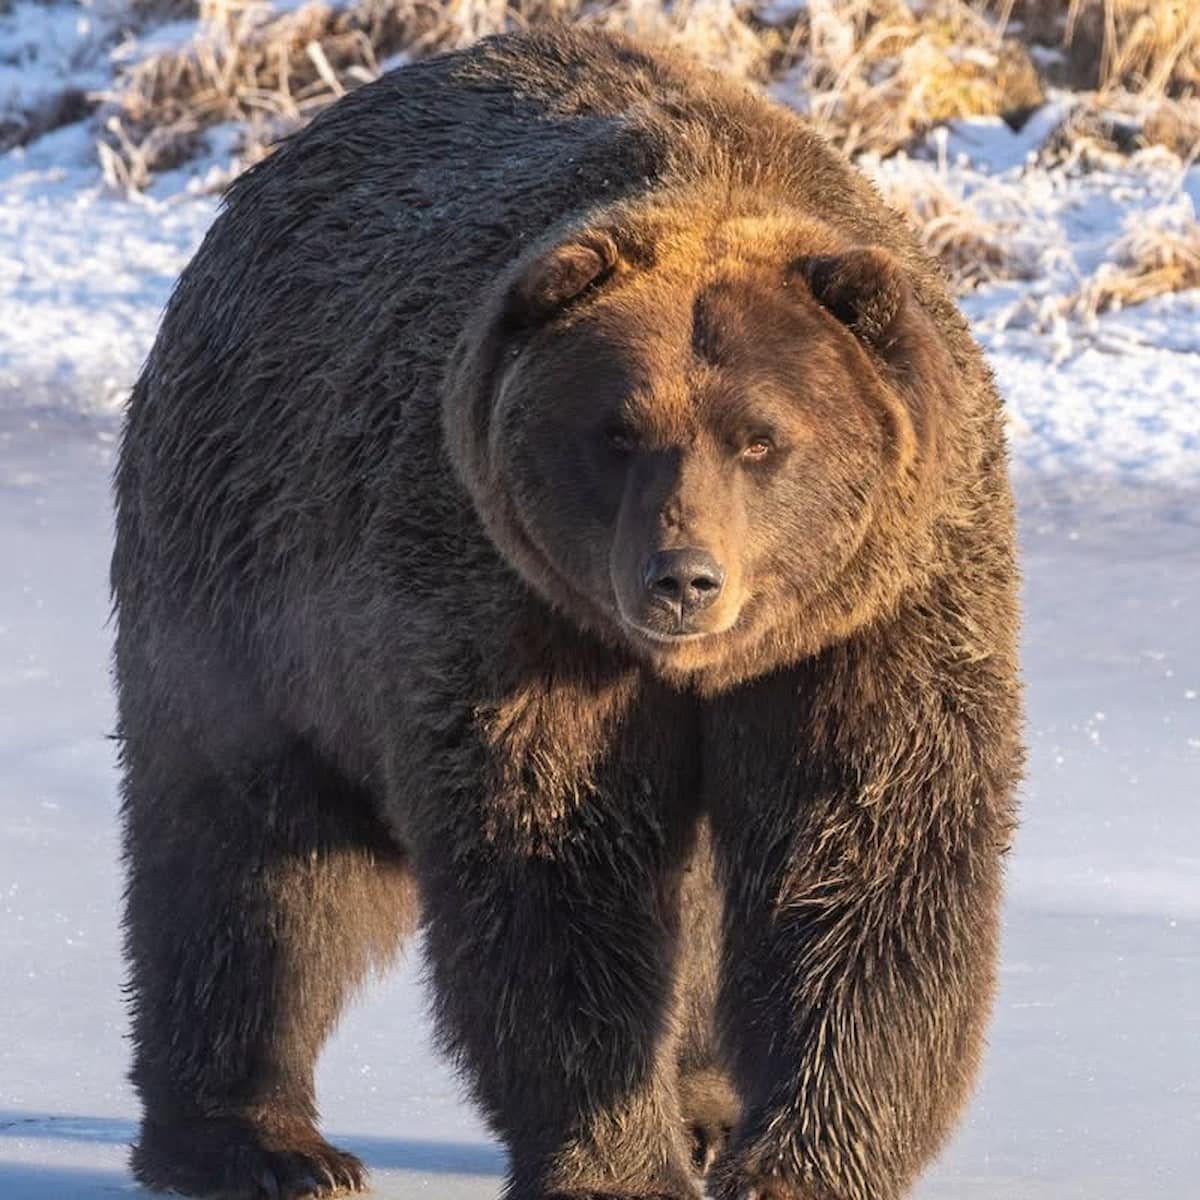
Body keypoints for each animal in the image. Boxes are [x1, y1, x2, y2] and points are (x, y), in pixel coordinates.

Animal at [112, 23, 1022, 1200]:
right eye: (619, 432)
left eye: (760, 436)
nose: (683, 576)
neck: (701, 665)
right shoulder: (518, 617)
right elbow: (557, 881)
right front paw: (618, 1161)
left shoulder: (874, 621)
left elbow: (867, 863)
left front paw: (793, 1162)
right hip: (244, 560)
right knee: (248, 857)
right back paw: (259, 1144)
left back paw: (705, 1106)